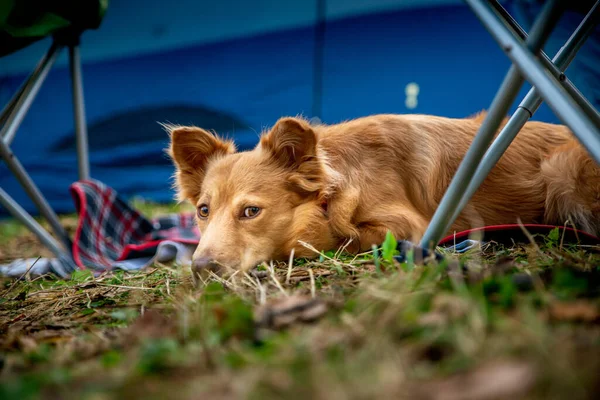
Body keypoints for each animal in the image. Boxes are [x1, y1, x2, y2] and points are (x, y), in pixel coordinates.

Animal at [165, 113, 600, 276]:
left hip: (562, 169)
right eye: (203, 211)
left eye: (251, 211)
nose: (200, 268)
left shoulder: (408, 227)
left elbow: (340, 239)